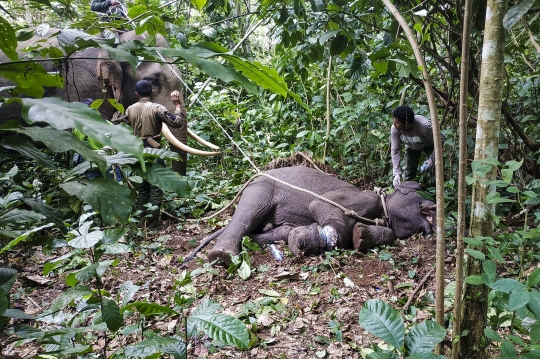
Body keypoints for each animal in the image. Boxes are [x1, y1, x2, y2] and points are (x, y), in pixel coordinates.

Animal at [205, 167, 436, 266]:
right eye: (422, 194)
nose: (435, 208)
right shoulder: (363, 197)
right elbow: (319, 204)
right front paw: (310, 241)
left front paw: (361, 236)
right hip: (260, 187)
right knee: (247, 214)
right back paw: (221, 255)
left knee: (273, 230)